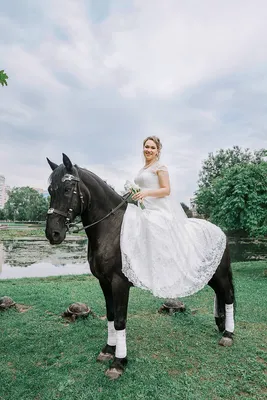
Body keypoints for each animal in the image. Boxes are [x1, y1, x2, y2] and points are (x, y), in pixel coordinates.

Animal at [45, 155, 236, 380]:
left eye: (67, 189)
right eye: (50, 190)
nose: (53, 233)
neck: (112, 229)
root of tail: (220, 230)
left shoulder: (119, 283)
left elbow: (120, 320)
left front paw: (118, 362)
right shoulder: (104, 282)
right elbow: (111, 315)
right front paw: (108, 350)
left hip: (220, 274)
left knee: (228, 297)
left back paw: (228, 334)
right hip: (210, 275)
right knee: (221, 295)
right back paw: (222, 326)